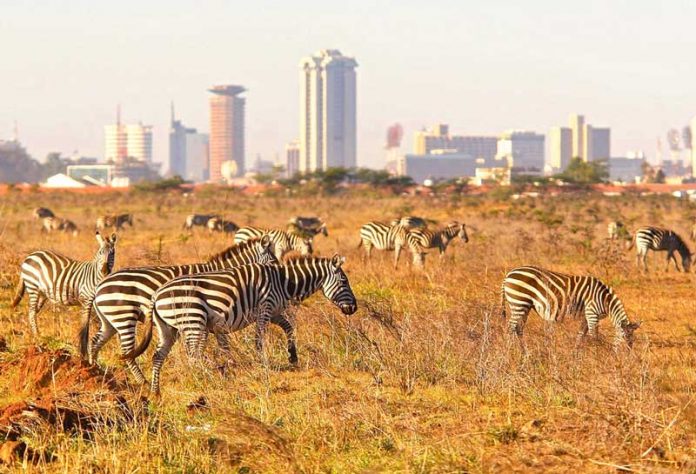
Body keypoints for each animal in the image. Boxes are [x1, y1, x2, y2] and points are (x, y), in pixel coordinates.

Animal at [88, 237, 276, 383]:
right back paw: (142, 381)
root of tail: (99, 286)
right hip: (124, 316)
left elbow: (218, 344)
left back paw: (95, 372)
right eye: (274, 261)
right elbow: (202, 345)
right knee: (126, 352)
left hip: (110, 321)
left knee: (95, 342)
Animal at [124, 255, 357, 395]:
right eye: (344, 282)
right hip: (193, 320)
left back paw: (155, 390)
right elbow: (259, 339)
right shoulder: (265, 308)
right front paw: (263, 362)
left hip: (168, 328)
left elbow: (289, 327)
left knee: (159, 356)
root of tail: (156, 295)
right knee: (193, 355)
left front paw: (292, 356)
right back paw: (204, 378)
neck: (284, 282)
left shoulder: (274, 311)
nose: (354, 308)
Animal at [501, 265, 641, 348]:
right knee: (510, 327)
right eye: (624, 337)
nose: (627, 356)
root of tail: (508, 274)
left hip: (525, 306)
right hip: (518, 303)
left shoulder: (585, 317)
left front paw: (576, 357)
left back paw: (524, 352)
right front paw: (596, 355)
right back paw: (509, 351)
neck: (604, 299)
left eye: (632, 339)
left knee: (518, 328)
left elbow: (581, 336)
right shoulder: (591, 313)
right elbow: (593, 336)